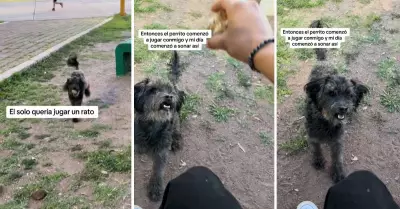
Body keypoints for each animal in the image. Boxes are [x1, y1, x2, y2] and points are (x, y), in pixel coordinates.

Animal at [134, 50, 185, 201]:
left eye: (170, 90)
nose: (169, 96)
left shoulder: (161, 151)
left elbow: (158, 171)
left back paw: (176, 140)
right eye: (153, 90)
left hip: (176, 119)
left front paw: (155, 188)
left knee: (177, 128)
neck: (153, 124)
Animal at [304, 19, 368, 183]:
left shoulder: (337, 141)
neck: (327, 121)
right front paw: (318, 160)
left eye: (349, 95)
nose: (343, 108)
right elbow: (316, 148)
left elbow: (337, 157)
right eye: (331, 93)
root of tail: (323, 61)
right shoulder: (313, 136)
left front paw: (338, 172)